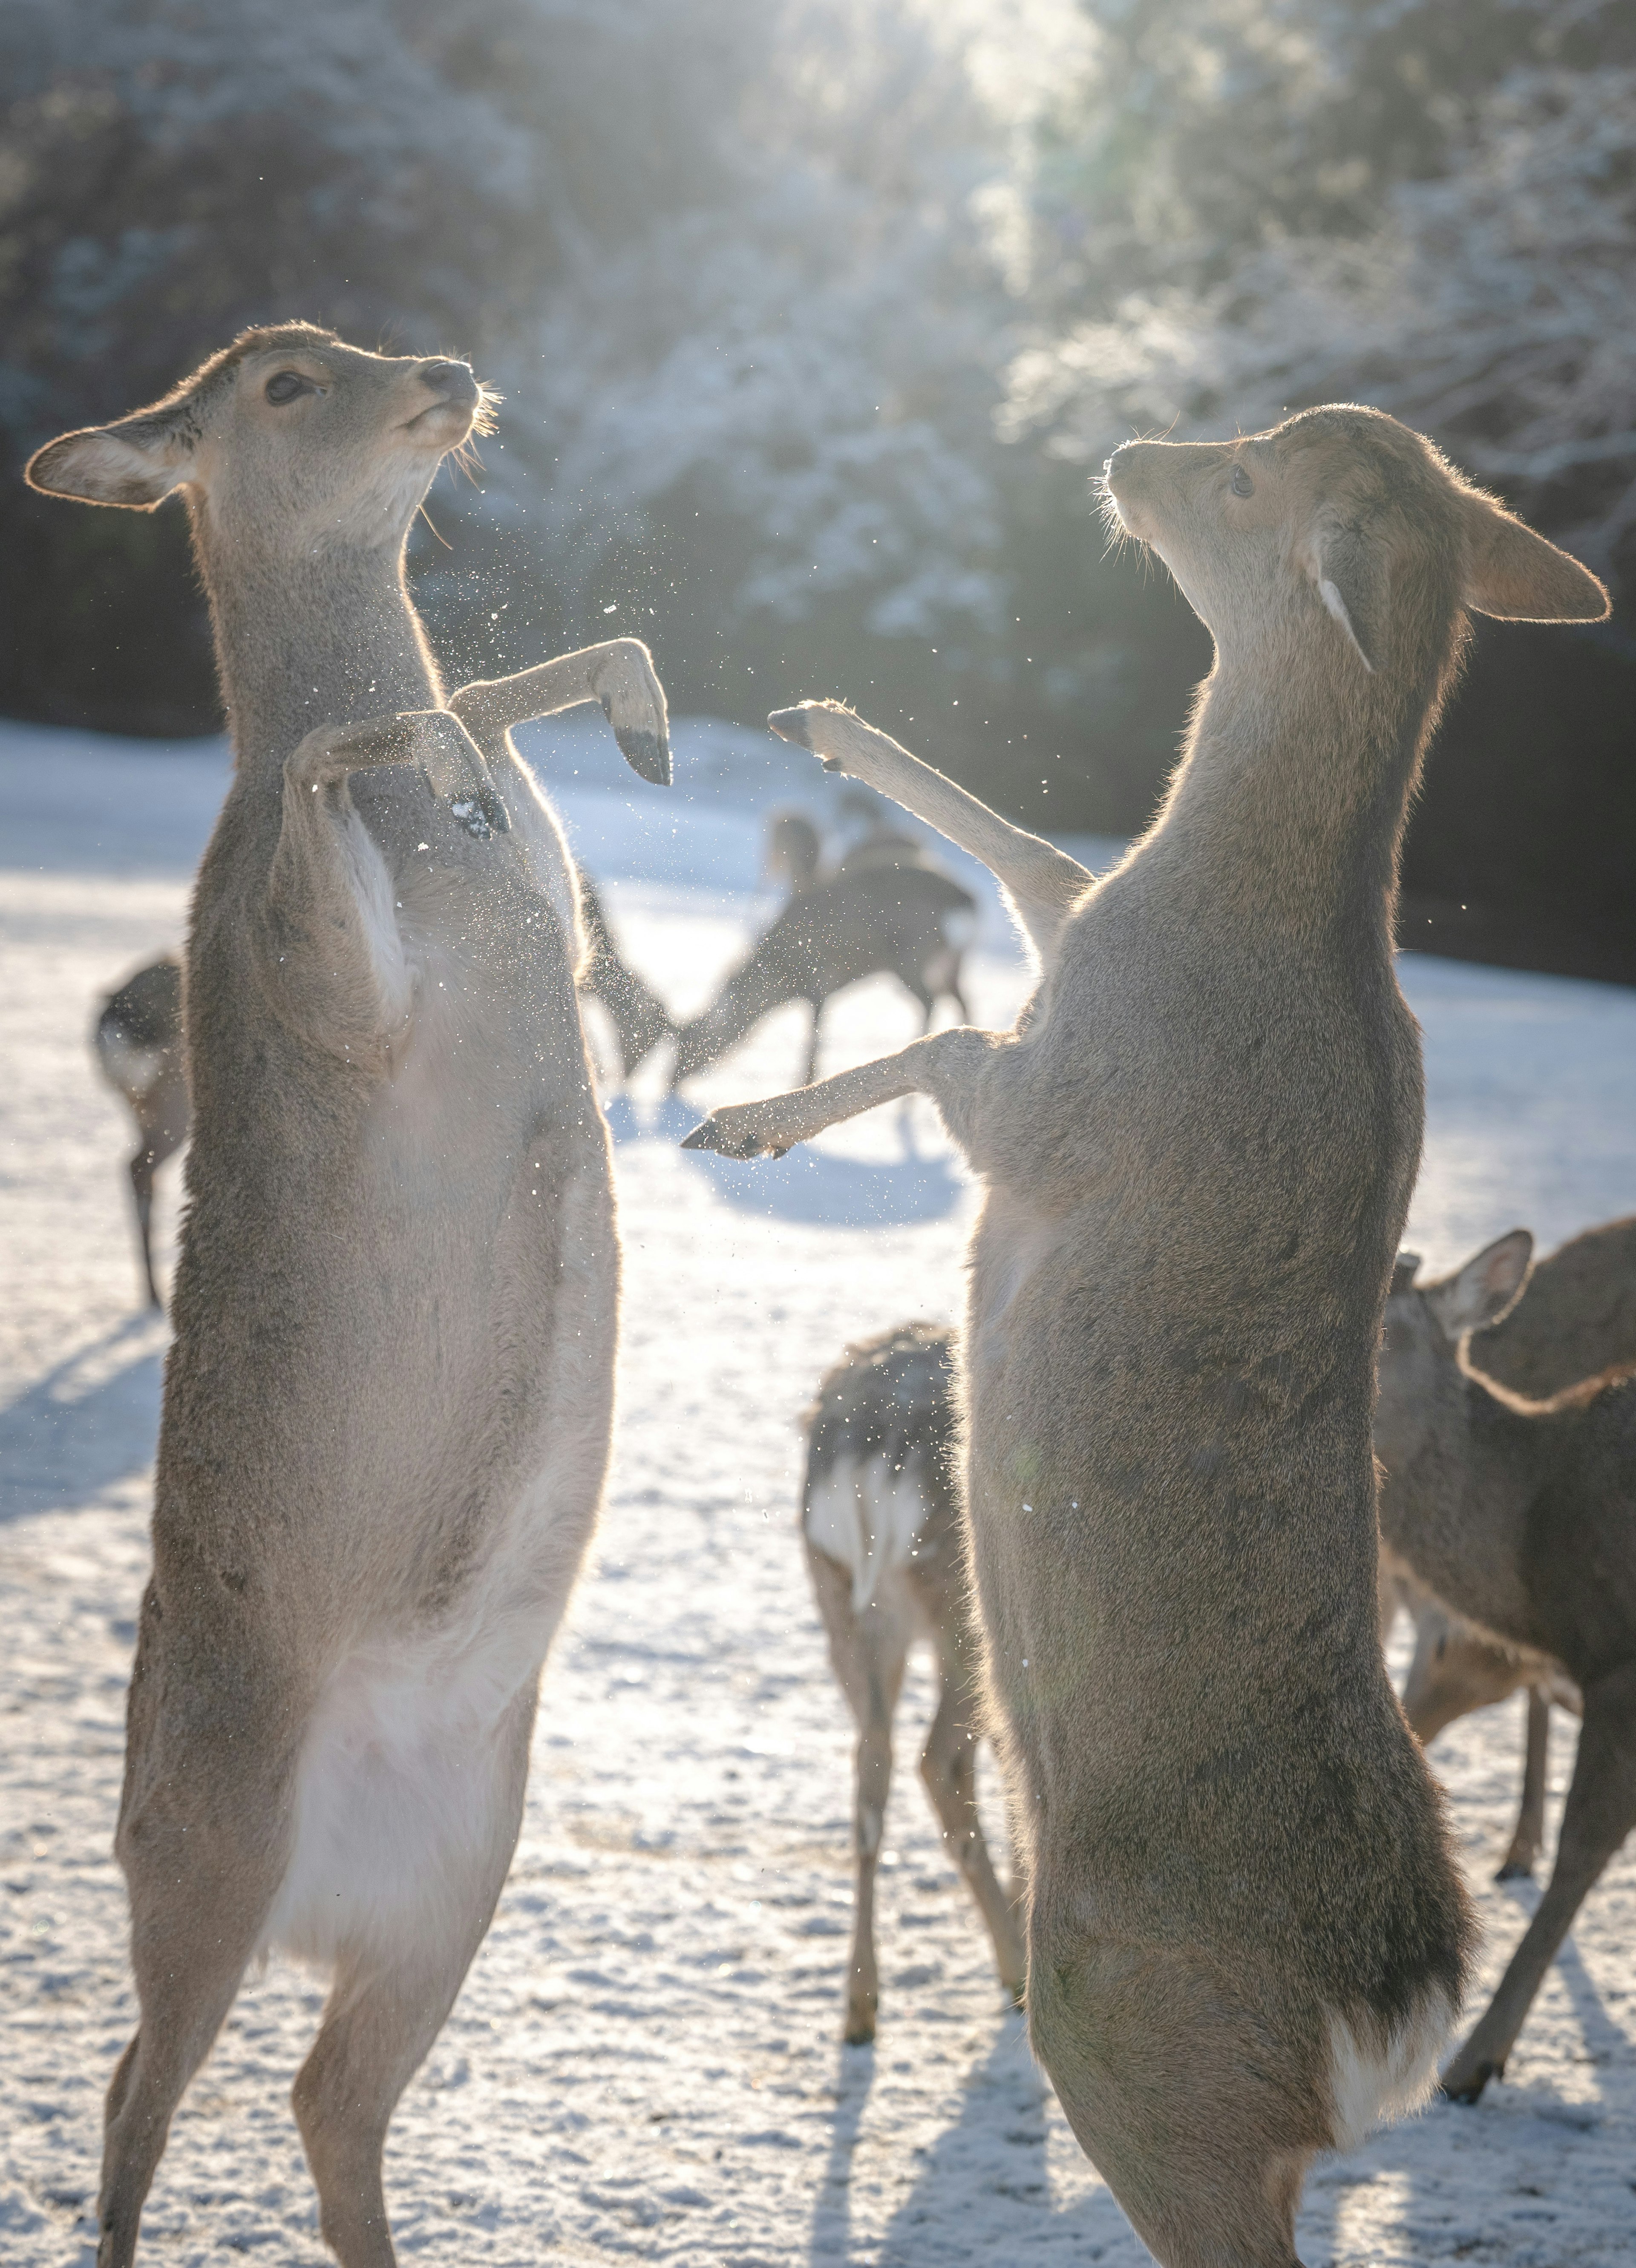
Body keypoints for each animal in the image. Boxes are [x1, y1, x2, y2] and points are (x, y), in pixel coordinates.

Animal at [794, 1315, 1017, 2041]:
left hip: (846, 1604)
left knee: (873, 1770)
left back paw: (861, 2006)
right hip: (965, 1617)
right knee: (940, 1758)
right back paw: (1019, 1968)